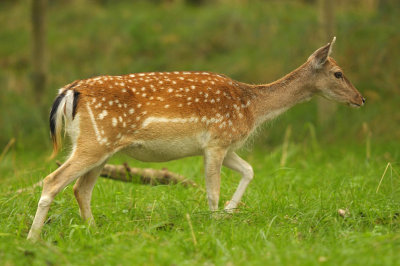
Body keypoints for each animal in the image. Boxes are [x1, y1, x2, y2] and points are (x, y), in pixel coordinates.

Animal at [27, 38, 366, 241]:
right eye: (338, 73)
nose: (361, 99)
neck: (251, 107)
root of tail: (69, 91)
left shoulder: (224, 144)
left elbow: (249, 170)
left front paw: (229, 211)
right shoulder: (217, 140)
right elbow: (212, 191)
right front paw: (215, 223)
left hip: (101, 148)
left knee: (81, 190)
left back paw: (94, 232)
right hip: (94, 142)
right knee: (52, 181)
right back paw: (33, 237)